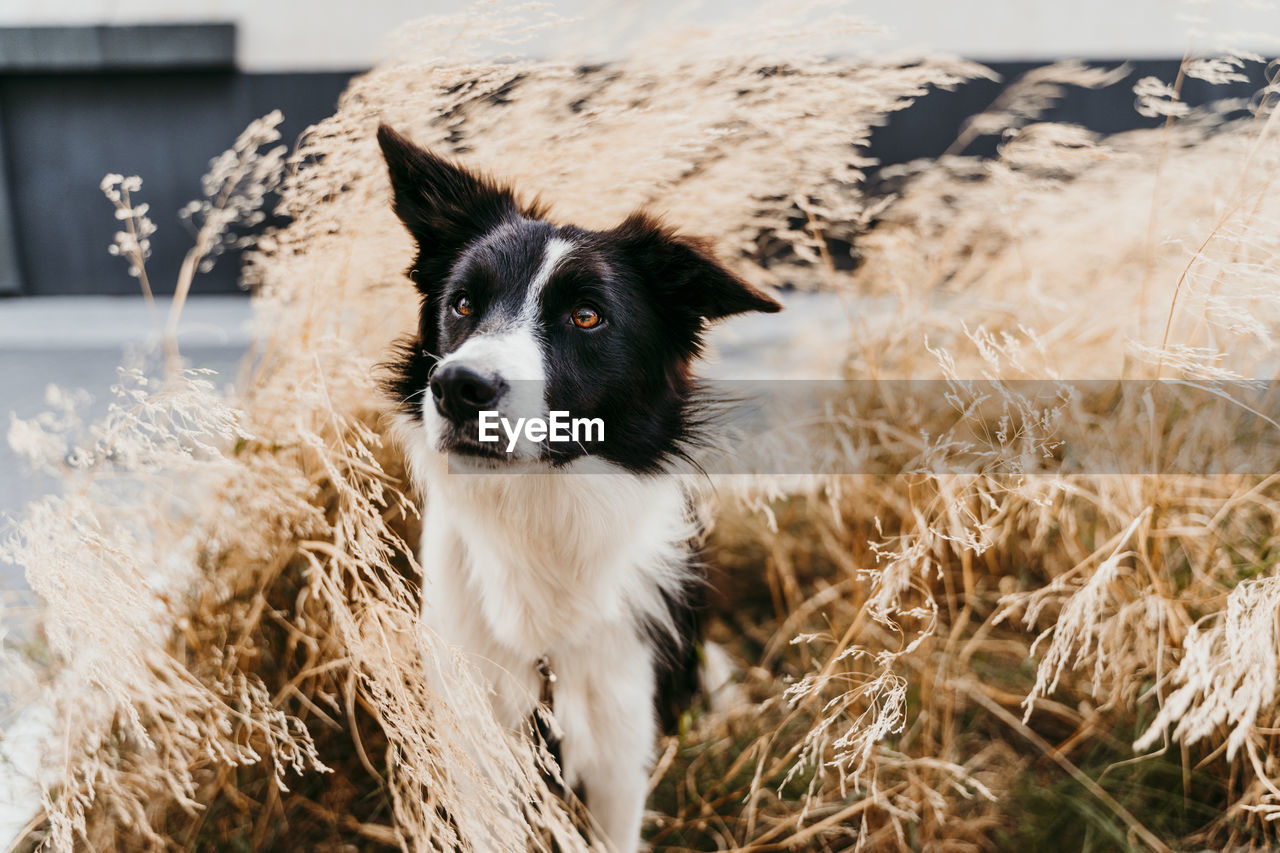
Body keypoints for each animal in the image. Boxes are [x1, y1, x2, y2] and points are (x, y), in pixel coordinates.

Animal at [376, 122, 778, 845]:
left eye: (587, 317)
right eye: (463, 303)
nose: (457, 387)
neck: (540, 508)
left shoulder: (619, 740)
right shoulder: (478, 740)